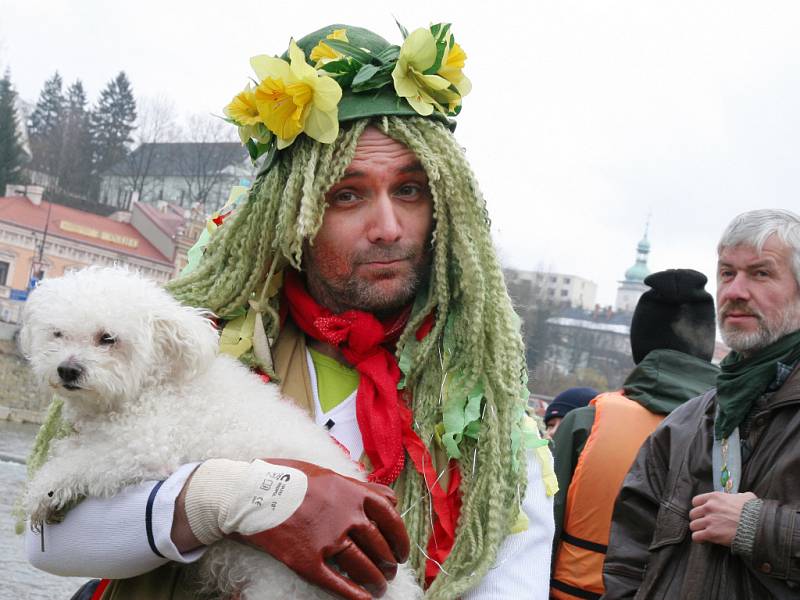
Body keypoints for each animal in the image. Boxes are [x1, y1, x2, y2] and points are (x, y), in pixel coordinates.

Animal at [18, 268, 422, 600]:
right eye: (58, 334)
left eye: (108, 338)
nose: (67, 369)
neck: (153, 385)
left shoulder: (144, 444)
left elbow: (83, 461)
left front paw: (44, 491)